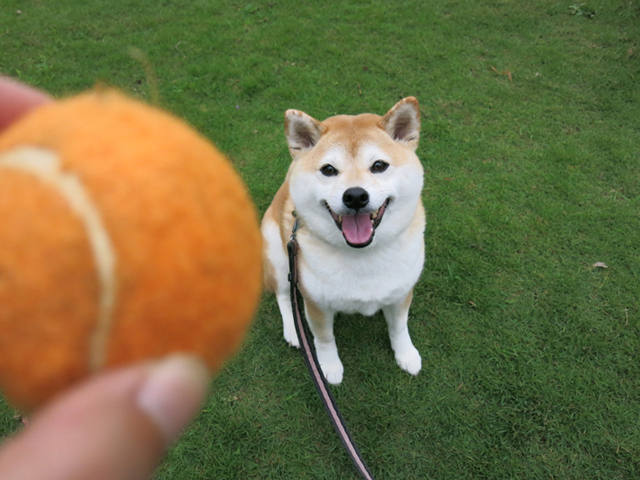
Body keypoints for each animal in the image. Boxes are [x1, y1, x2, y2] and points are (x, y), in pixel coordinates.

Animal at [260, 97, 424, 386]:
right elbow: (324, 339)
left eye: (379, 165)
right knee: (284, 295)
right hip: (280, 256)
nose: (355, 196)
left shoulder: (402, 291)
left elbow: (399, 326)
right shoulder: (316, 303)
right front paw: (329, 366)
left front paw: (406, 354)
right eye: (328, 170)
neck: (363, 255)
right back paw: (293, 330)